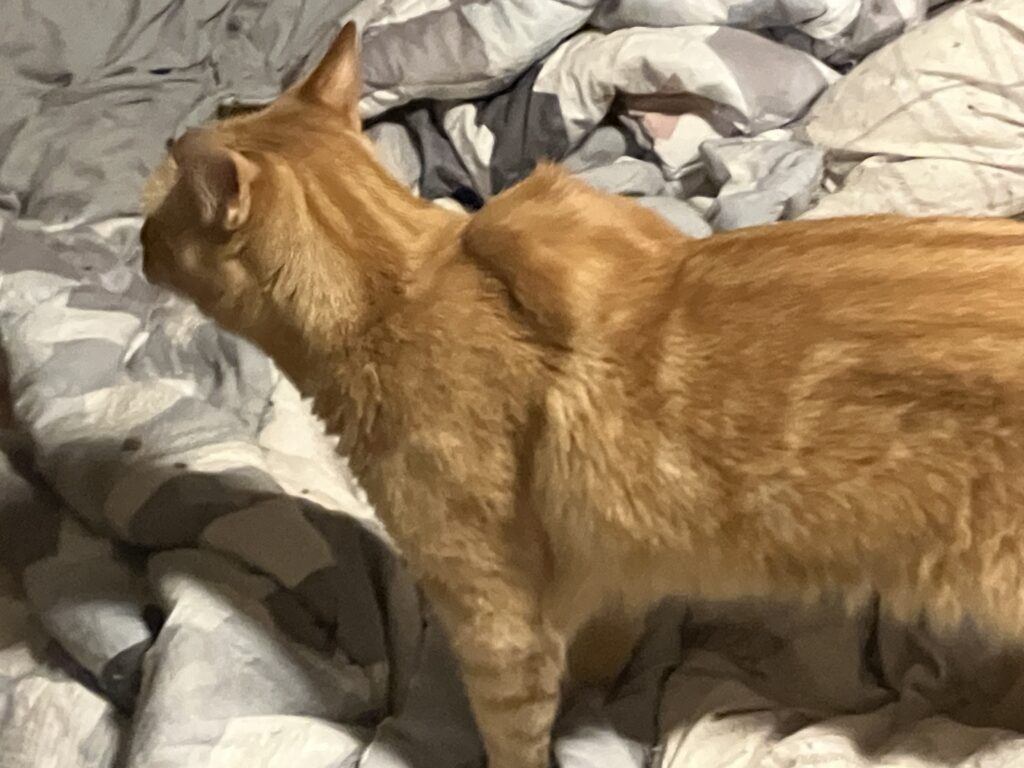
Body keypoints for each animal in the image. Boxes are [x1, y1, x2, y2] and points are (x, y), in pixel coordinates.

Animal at [141, 22, 1024, 768]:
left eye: (153, 211)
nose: (137, 243)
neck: (402, 289)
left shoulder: (497, 619)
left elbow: (515, 735)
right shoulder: (610, 560)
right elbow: (609, 628)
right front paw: (603, 690)